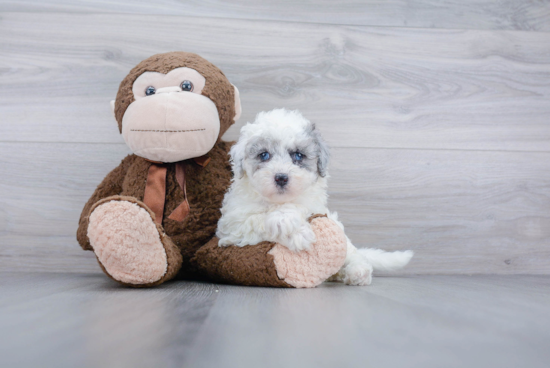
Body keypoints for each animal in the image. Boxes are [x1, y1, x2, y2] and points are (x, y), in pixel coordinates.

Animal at [217, 108, 414, 286]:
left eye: (298, 155)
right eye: (263, 155)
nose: (281, 177)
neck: (279, 201)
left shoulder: (315, 207)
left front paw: (288, 220)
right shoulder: (233, 225)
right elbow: (257, 219)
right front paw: (294, 230)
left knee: (351, 253)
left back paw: (357, 272)